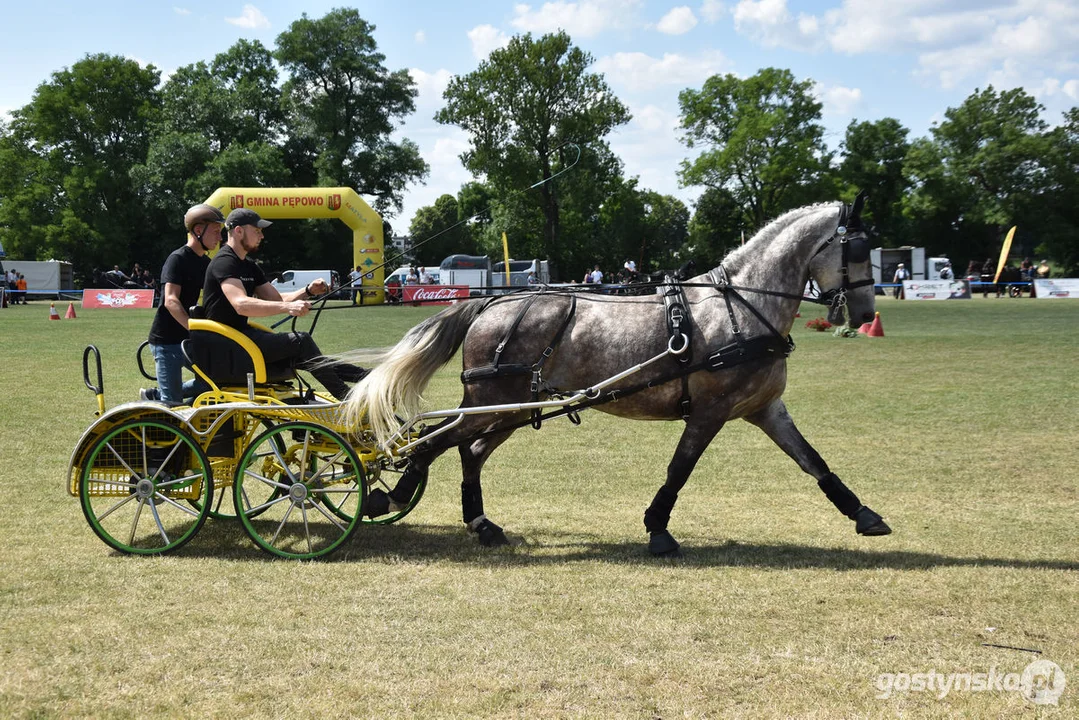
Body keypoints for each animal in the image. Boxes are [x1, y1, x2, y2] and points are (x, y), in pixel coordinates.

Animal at [347, 197, 893, 557]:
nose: (867, 312)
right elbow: (679, 469)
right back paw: (392, 494)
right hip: (490, 399)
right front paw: (658, 529)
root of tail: (493, 302)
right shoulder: (711, 411)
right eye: (857, 249)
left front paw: (864, 514)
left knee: (469, 449)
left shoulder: (765, 408)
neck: (742, 307)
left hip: (511, 407)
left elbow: (813, 461)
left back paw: (480, 523)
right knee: (435, 439)